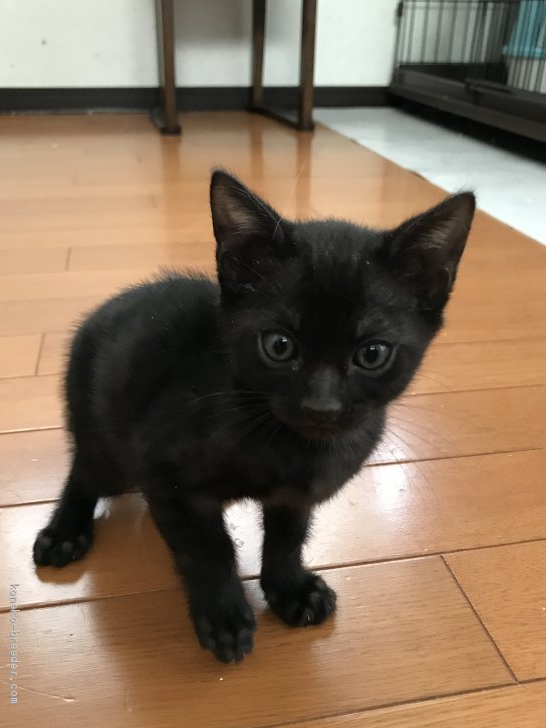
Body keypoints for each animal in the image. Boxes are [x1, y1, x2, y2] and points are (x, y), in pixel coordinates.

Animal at [33, 169, 475, 663]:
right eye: (279, 346)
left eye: (372, 354)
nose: (321, 405)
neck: (293, 446)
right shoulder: (163, 469)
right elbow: (208, 549)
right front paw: (224, 615)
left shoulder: (296, 494)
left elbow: (288, 536)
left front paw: (290, 589)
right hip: (109, 444)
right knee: (85, 471)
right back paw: (65, 531)